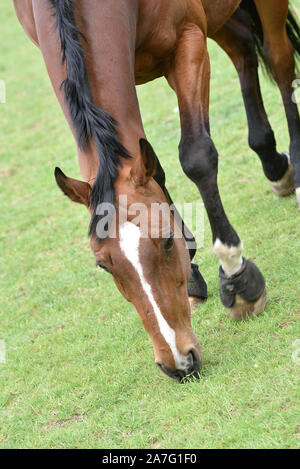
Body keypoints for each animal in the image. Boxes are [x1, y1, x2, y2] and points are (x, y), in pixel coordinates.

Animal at [14, 0, 300, 380]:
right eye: (103, 266)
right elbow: (156, 169)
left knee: (279, 59)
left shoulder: (187, 40)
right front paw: (192, 268)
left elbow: (196, 156)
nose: (177, 362)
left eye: (165, 241)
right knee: (242, 46)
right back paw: (273, 162)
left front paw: (235, 276)